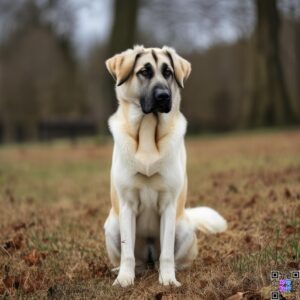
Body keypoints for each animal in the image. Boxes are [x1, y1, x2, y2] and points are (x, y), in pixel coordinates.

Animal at [103, 45, 227, 288]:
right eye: (144, 71)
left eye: (168, 72)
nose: (164, 96)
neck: (148, 133)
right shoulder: (126, 205)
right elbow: (127, 253)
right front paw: (124, 279)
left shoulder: (169, 204)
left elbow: (168, 252)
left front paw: (168, 280)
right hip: (112, 224)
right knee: (135, 259)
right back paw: (123, 270)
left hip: (184, 228)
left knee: (167, 258)